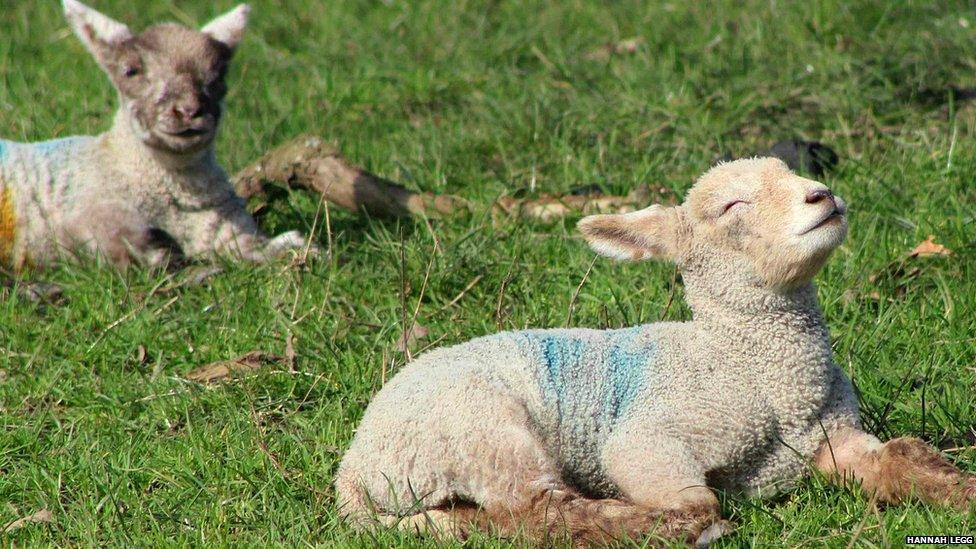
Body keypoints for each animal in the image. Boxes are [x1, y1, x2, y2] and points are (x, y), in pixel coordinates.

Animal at [0, 1, 308, 270]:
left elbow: (261, 246)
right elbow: (135, 248)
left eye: (219, 74)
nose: (188, 110)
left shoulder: (225, 227)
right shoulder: (86, 217)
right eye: (130, 70)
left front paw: (292, 247)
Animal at [336, 157, 976, 544]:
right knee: (539, 511)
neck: (752, 371)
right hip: (479, 430)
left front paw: (960, 494)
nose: (823, 197)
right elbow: (695, 500)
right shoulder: (650, 436)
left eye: (794, 173)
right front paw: (686, 521)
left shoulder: (835, 435)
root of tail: (353, 471)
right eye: (732, 207)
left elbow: (905, 457)